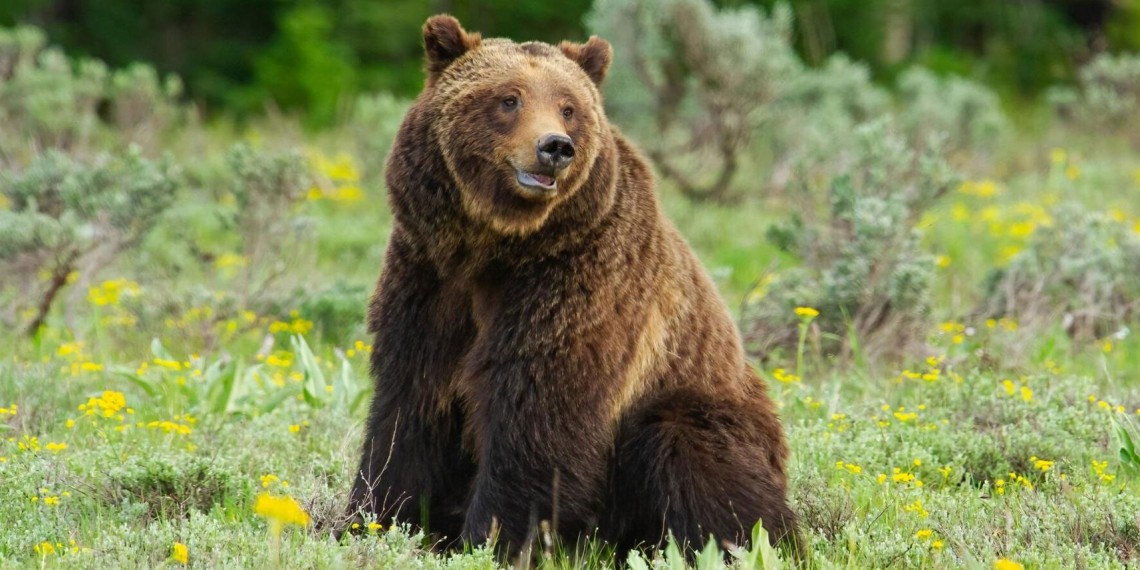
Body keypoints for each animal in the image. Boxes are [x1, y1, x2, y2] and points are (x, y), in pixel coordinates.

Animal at [344, 14, 798, 559]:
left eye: (568, 107)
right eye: (509, 98)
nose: (555, 147)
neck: (497, 246)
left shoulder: (576, 283)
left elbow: (539, 412)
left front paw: (492, 539)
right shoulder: (428, 276)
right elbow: (408, 409)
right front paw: (371, 518)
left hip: (702, 405)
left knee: (696, 458)